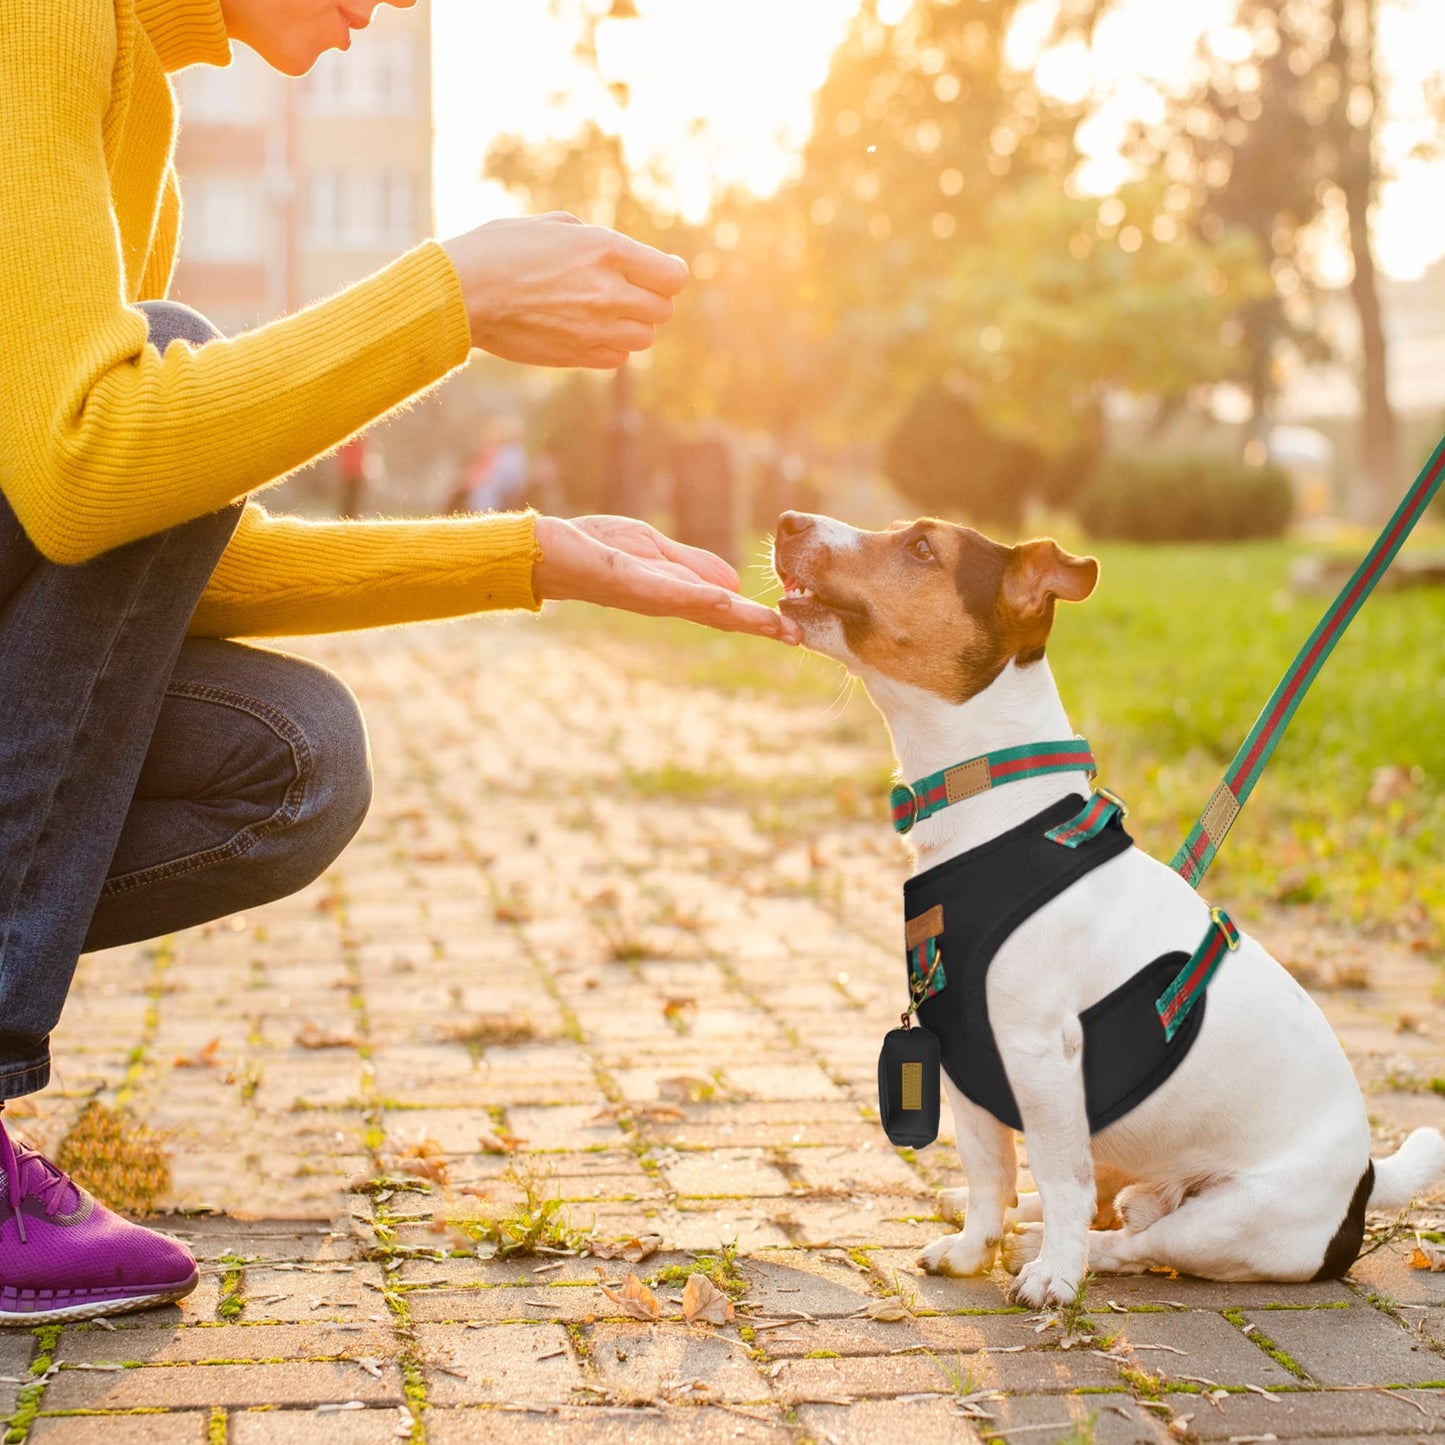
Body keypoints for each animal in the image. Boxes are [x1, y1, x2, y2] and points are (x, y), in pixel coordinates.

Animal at [774, 514, 1445, 1306]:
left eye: (921, 548)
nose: (788, 522)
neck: (994, 806)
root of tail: (1366, 1179)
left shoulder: (1041, 1058)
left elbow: (1060, 1178)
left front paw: (1053, 1275)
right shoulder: (962, 1057)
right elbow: (989, 1172)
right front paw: (971, 1249)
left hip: (1228, 1219)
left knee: (1131, 1236)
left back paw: (1055, 1248)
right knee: (1098, 1197)